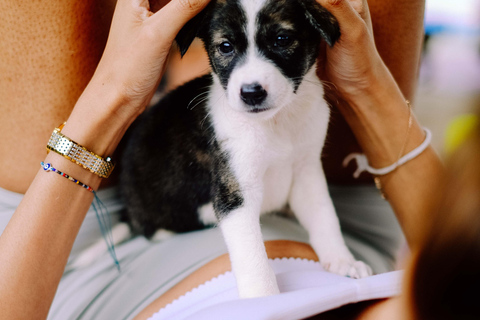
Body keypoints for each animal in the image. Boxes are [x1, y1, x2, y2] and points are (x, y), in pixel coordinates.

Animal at [119, 0, 372, 298]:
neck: (276, 122)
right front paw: (264, 298)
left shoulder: (306, 172)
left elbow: (325, 218)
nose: (251, 93)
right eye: (226, 46)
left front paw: (343, 261)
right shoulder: (236, 192)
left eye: (282, 39)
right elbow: (251, 253)